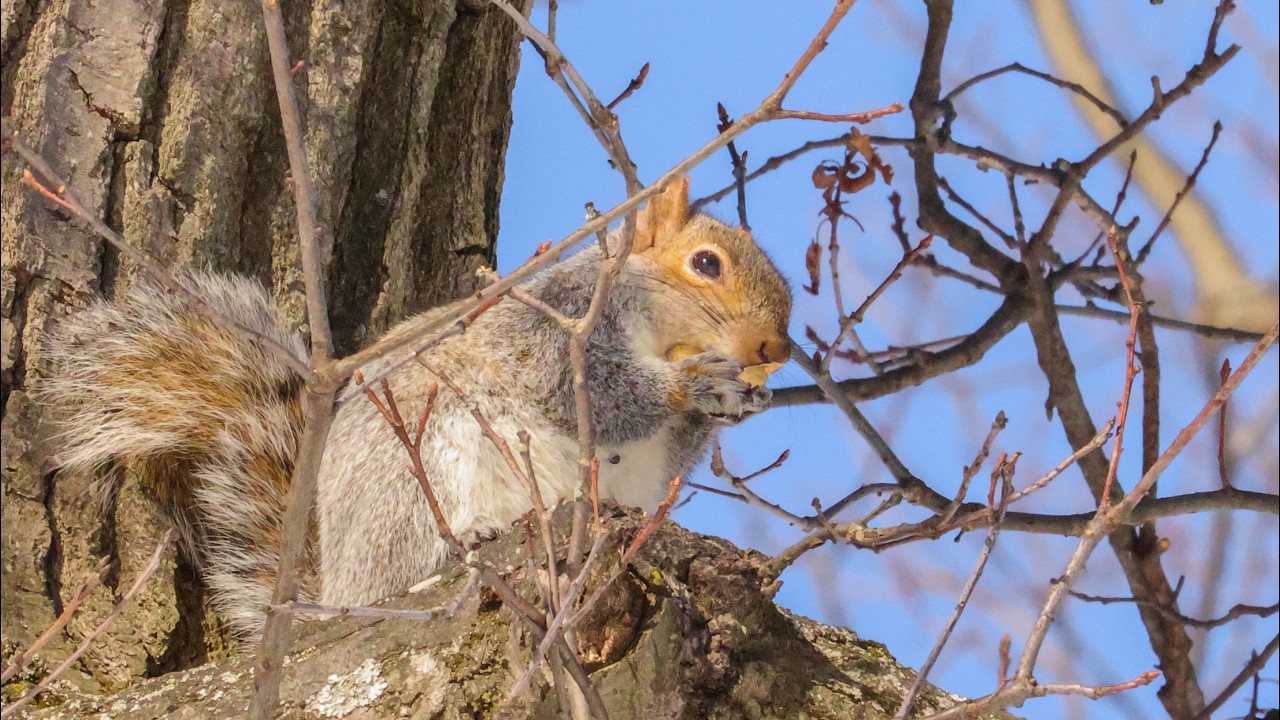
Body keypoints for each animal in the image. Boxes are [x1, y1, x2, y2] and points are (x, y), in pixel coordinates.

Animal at [38, 177, 792, 638]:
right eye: (706, 264)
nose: (775, 348)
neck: (663, 337)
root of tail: (334, 585)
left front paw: (738, 399)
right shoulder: (561, 323)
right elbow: (588, 392)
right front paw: (691, 388)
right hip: (419, 465)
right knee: (403, 568)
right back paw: (466, 541)